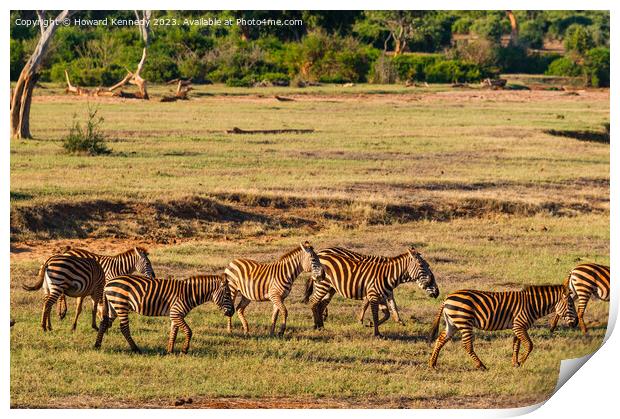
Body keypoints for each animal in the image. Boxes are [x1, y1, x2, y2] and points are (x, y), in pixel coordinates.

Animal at [94, 272, 235, 354]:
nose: (232, 312)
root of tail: (108, 283)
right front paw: (184, 350)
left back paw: (97, 345)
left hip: (113, 306)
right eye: (228, 295)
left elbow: (174, 332)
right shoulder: (176, 313)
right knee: (124, 328)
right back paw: (135, 349)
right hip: (121, 304)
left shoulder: (176, 315)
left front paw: (170, 351)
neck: (189, 293)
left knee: (103, 323)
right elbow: (189, 331)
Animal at [306, 246, 440, 338]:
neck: (389, 275)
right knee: (313, 302)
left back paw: (321, 326)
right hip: (322, 285)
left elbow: (389, 312)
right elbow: (375, 314)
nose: (438, 293)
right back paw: (315, 326)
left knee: (321, 304)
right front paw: (376, 333)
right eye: (422, 266)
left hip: (331, 288)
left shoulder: (383, 295)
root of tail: (321, 253)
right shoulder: (373, 295)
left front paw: (371, 324)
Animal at [428, 286, 580, 370]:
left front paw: (515, 363)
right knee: (467, 345)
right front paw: (522, 362)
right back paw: (481, 365)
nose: (576, 323)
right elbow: (529, 345)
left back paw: (432, 364)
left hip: (452, 323)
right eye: (571, 305)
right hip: (464, 322)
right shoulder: (519, 325)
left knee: (440, 340)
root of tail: (447, 298)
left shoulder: (518, 327)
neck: (532, 305)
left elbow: (516, 345)